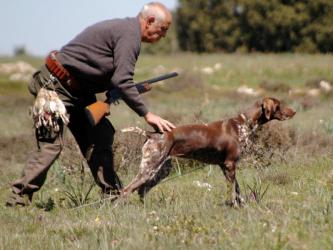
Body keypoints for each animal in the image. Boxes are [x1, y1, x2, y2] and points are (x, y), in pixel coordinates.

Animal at [120, 96, 294, 206]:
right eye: (279, 105)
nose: (294, 112)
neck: (243, 124)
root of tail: (152, 134)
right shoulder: (230, 164)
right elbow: (232, 191)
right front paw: (234, 206)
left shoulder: (225, 166)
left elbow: (237, 189)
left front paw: (241, 205)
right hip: (149, 168)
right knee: (126, 190)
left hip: (162, 170)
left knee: (141, 190)